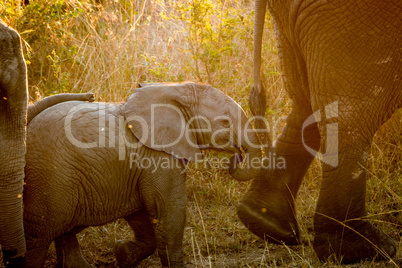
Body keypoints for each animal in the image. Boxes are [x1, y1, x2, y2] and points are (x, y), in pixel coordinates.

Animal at [24, 82, 264, 266]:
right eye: (225, 122)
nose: (238, 155)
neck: (176, 89)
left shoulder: (135, 168)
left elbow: (140, 214)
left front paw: (122, 254)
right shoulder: (157, 156)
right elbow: (169, 209)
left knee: (62, 233)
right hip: (51, 179)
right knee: (38, 237)